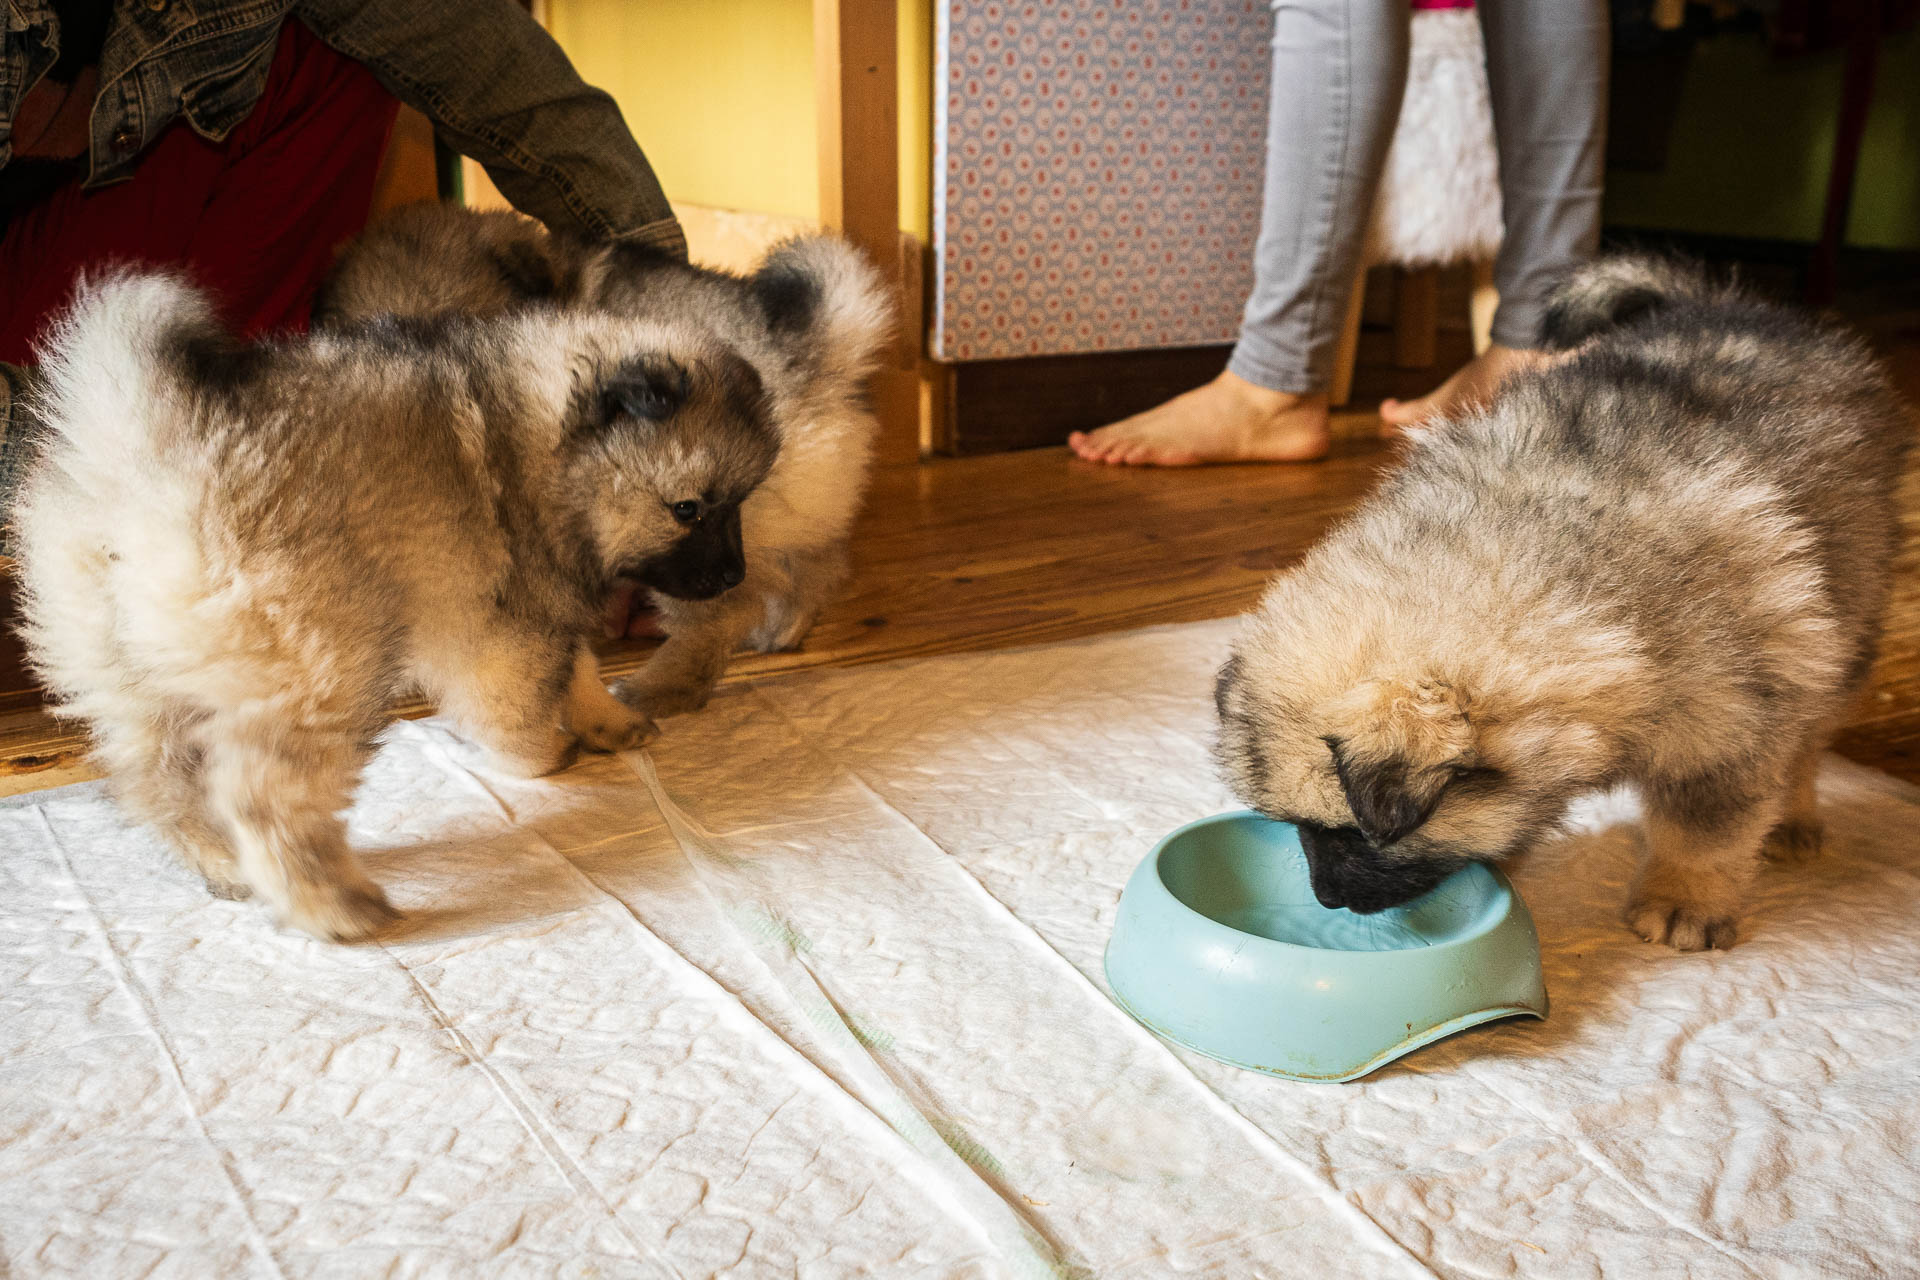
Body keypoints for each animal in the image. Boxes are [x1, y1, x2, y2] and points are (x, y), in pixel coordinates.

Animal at [13, 268, 779, 940]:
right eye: (688, 509)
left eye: (742, 503)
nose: (735, 575)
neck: (538, 438)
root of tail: (141, 443)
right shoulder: (502, 621)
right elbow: (521, 701)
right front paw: (540, 757)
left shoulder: (543, 604)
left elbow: (580, 669)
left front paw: (607, 723)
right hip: (320, 662)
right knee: (268, 797)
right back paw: (334, 906)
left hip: (130, 681)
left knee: (164, 782)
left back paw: (228, 867)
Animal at [1221, 253, 1912, 951]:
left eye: (1346, 832)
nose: (1326, 899)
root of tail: (1727, 304)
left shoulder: (1727, 726)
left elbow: (1704, 830)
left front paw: (1683, 900)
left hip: (1844, 613)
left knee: (1808, 736)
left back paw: (1793, 818)